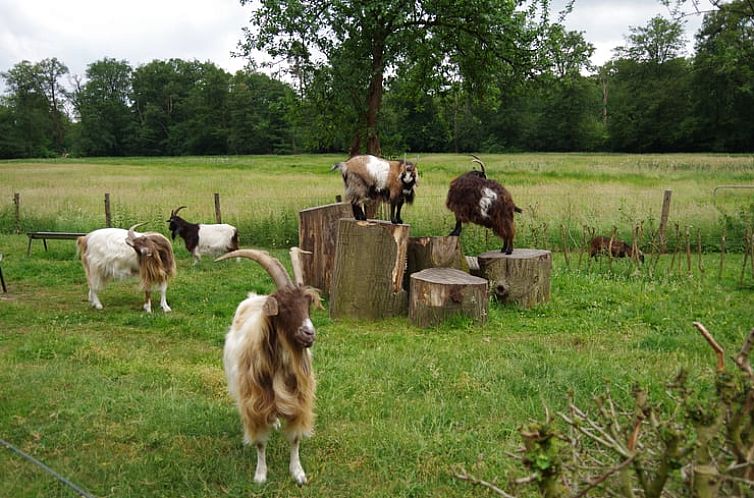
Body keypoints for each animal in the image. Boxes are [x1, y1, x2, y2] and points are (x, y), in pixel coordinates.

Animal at [217, 247, 324, 484]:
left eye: (307, 305)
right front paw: (260, 475)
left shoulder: (299, 402)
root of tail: (253, 298)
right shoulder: (255, 403)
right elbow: (260, 443)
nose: (309, 333)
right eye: (283, 307)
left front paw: (298, 473)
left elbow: (295, 440)